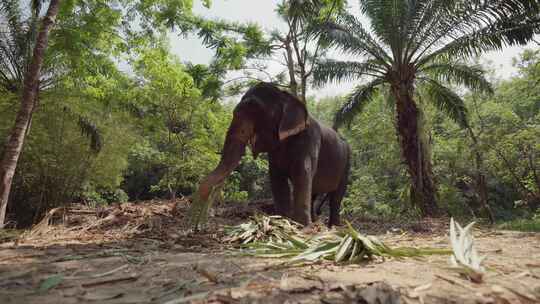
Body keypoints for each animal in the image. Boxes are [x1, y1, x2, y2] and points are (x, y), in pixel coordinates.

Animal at [196, 82, 352, 227]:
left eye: (255, 109)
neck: (286, 95)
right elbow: (277, 177)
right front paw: (284, 220)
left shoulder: (310, 139)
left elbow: (302, 172)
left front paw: (301, 226)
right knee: (314, 192)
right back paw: (316, 222)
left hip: (346, 163)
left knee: (336, 196)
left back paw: (333, 226)